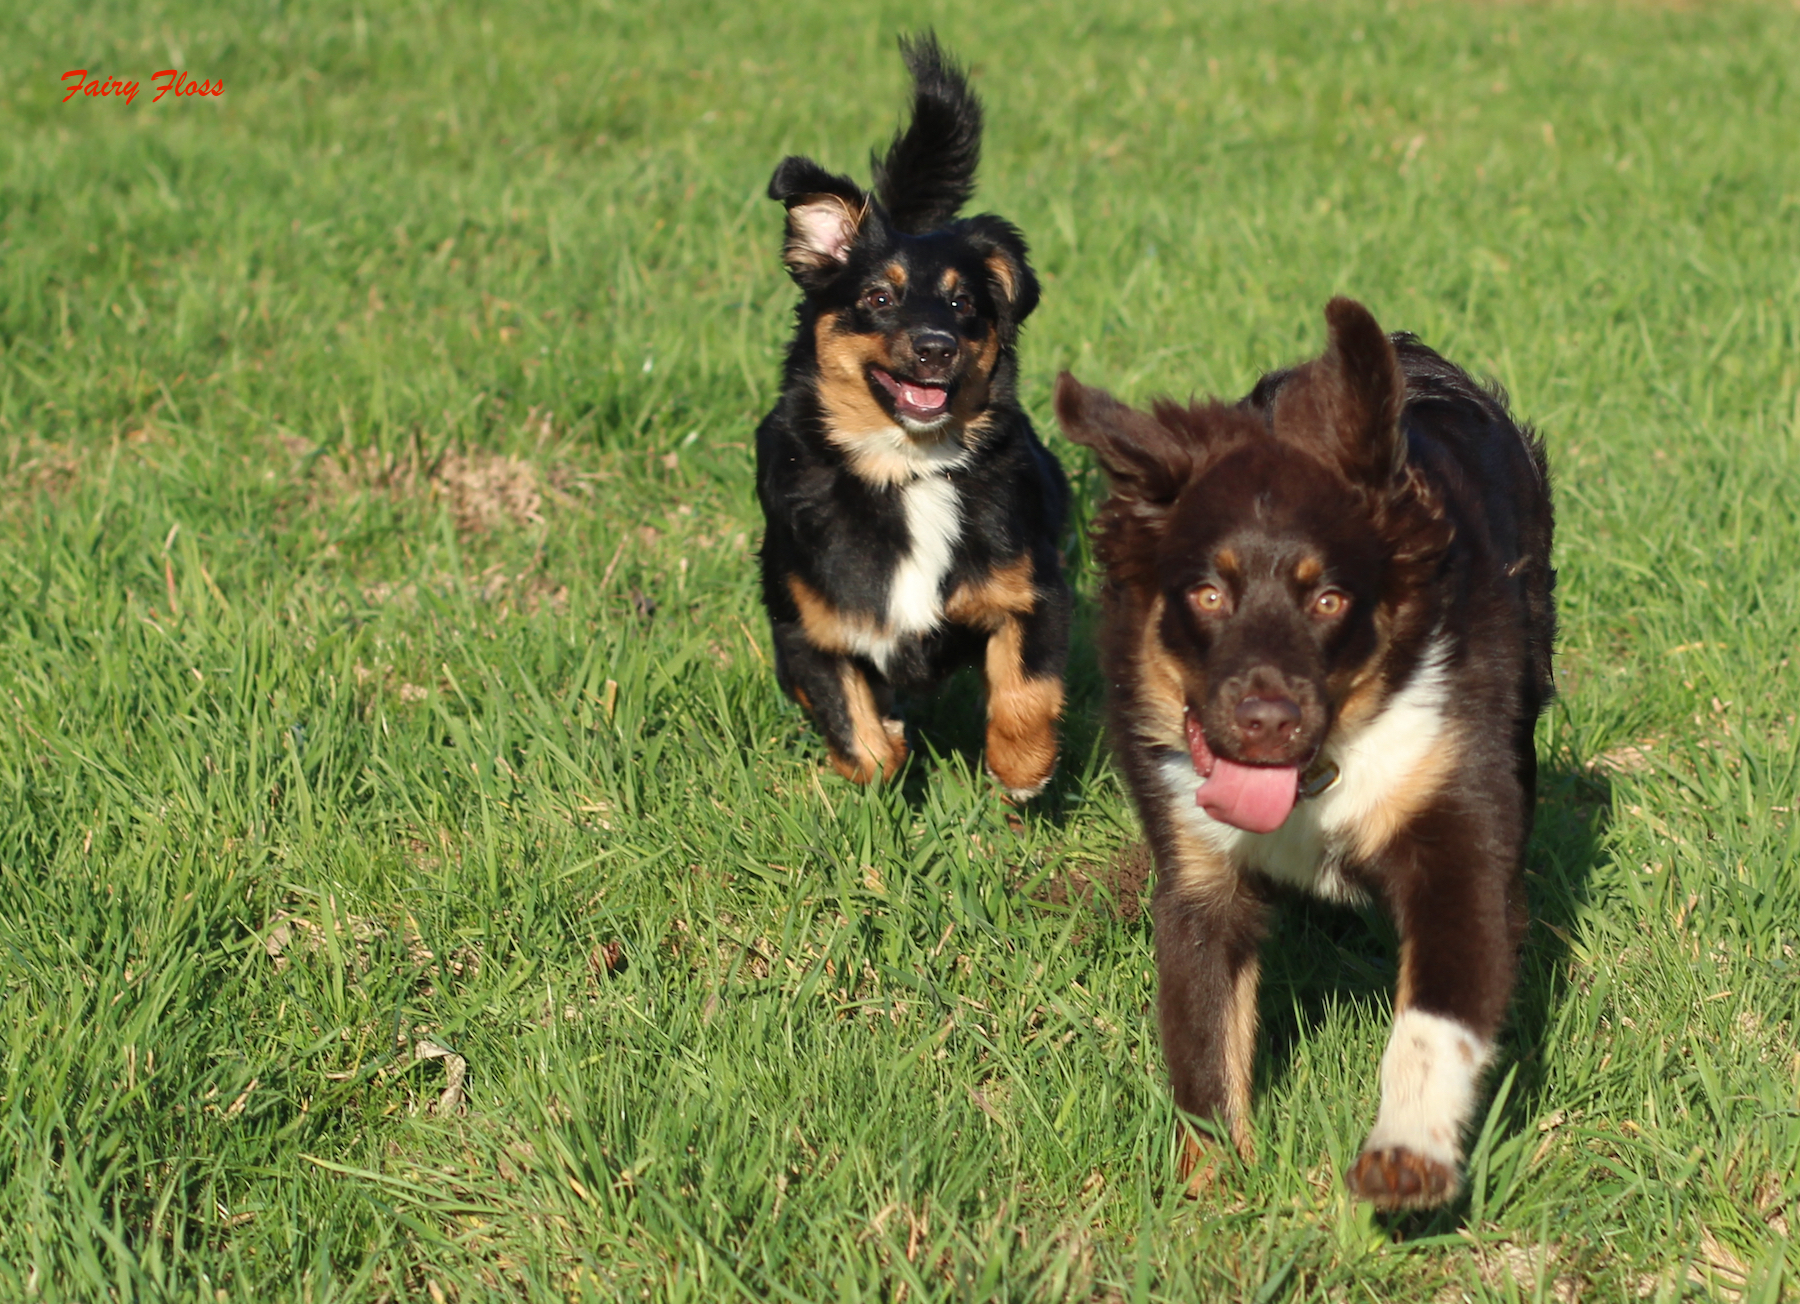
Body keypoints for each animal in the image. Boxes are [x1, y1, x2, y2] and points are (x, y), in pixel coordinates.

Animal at [756, 35, 1065, 796]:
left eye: (962, 303)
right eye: (877, 298)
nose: (935, 347)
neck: (907, 472)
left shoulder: (1033, 589)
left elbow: (1026, 688)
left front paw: (1022, 770)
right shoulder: (805, 627)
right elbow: (856, 733)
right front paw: (884, 750)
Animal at [1058, 297, 1555, 1210]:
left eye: (1328, 598)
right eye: (1206, 593)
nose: (1264, 721)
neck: (1319, 776)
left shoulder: (1460, 826)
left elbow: (1438, 1015)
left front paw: (1406, 1156)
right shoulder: (1197, 871)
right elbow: (1205, 1042)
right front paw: (1212, 1195)